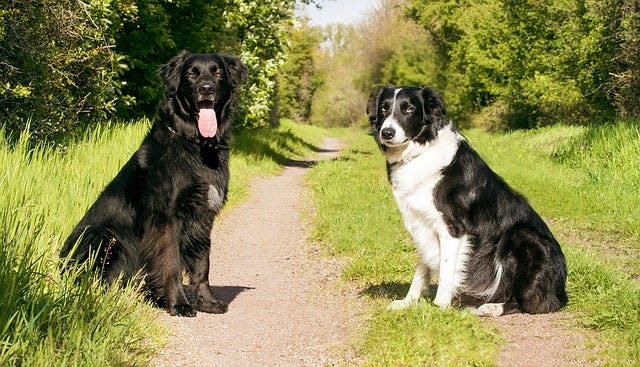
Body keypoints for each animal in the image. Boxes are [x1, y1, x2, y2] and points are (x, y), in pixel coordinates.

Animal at [61, 51, 248, 316]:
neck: (195, 145)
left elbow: (203, 264)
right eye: (191, 73)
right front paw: (179, 303)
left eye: (218, 73)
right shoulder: (166, 218)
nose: (206, 89)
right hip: (106, 236)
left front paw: (206, 301)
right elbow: (171, 263)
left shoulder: (203, 217)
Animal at [368, 85, 568, 316]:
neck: (420, 151)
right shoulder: (422, 223)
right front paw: (408, 301)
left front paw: (439, 307)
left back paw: (492, 307)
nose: (386, 132)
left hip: (521, 236)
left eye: (408, 109)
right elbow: (422, 266)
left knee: (530, 302)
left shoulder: (453, 227)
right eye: (384, 108)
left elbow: (446, 270)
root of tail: (561, 289)